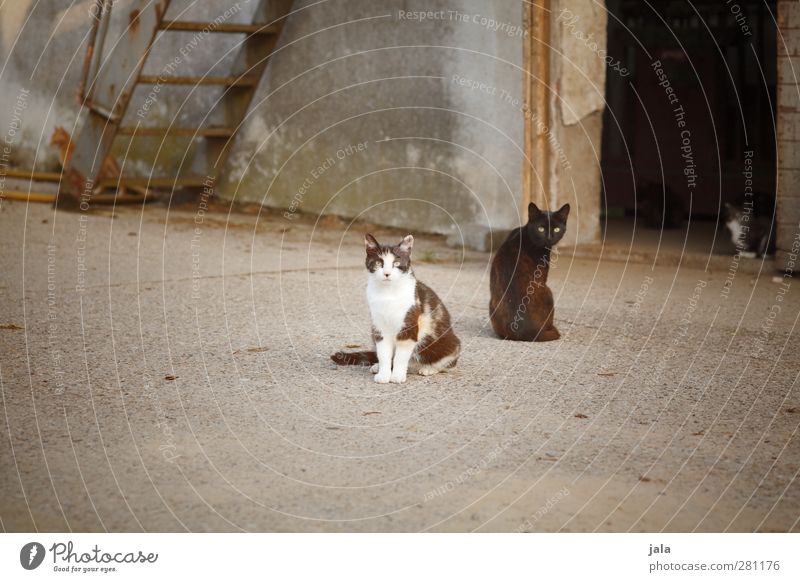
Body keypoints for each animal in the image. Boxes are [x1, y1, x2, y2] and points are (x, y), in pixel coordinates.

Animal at [328, 235, 460, 386]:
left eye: (396, 263)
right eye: (379, 262)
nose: (387, 273)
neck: (388, 293)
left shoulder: (408, 326)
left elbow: (400, 357)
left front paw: (397, 376)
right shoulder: (379, 327)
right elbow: (384, 353)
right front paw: (384, 374)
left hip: (449, 343)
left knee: (448, 363)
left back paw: (428, 368)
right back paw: (378, 366)